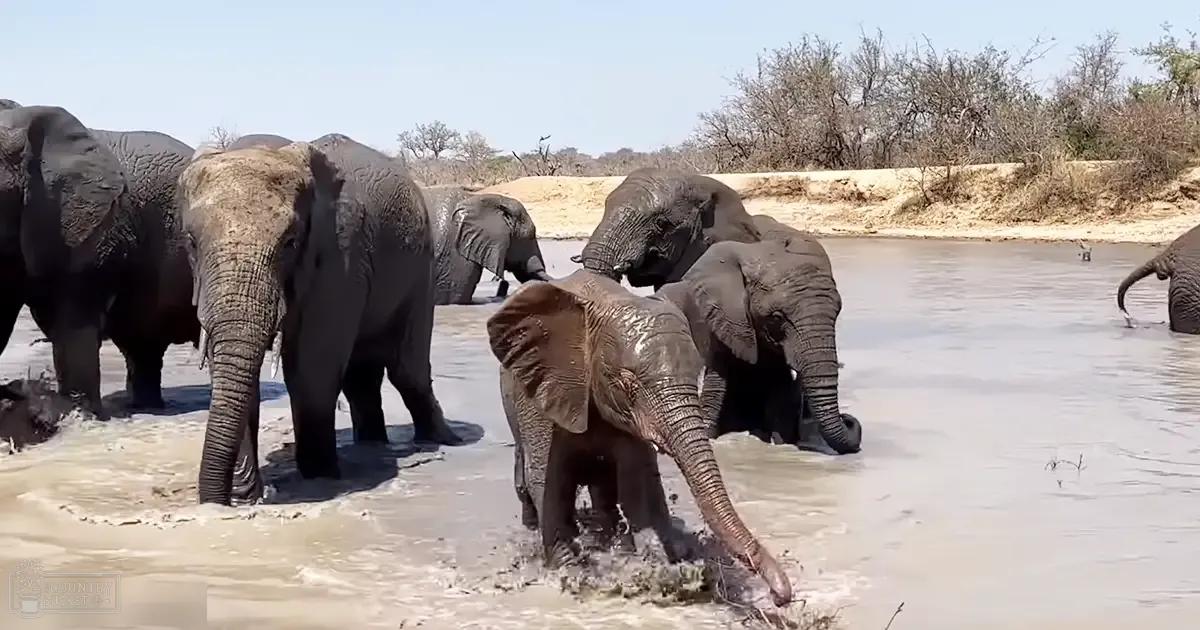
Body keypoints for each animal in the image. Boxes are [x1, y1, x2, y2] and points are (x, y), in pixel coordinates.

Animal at [179, 135, 463, 506]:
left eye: (290, 242)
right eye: (190, 241)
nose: (217, 501)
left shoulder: (341, 254)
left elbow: (312, 366)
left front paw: (320, 480)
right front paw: (244, 498)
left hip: (421, 269)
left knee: (407, 369)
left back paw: (446, 440)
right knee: (362, 377)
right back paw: (373, 444)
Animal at [488, 269, 794, 607]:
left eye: (695, 376)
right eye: (627, 383)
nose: (780, 596)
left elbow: (634, 478)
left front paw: (652, 563)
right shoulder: (546, 387)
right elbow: (547, 477)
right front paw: (571, 573)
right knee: (526, 479)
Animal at [653, 236, 862, 455]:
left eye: (837, 311)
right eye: (776, 317)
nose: (848, 419)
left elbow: (780, 387)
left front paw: (780, 441)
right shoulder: (718, 320)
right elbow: (717, 383)